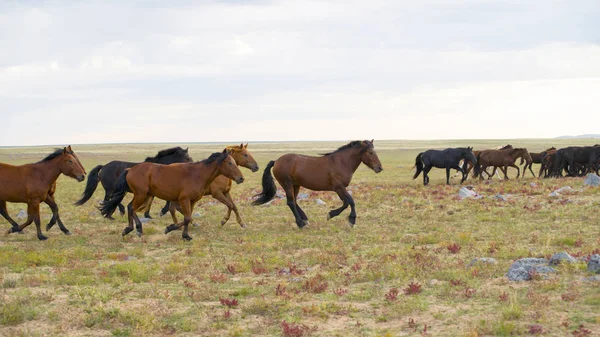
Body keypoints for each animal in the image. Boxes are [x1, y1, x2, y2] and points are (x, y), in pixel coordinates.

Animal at [99, 149, 245, 239]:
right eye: (229, 163)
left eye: (234, 162)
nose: (241, 178)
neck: (197, 174)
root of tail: (130, 170)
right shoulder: (184, 199)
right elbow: (187, 218)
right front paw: (178, 232)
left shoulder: (192, 201)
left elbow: (187, 217)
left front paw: (178, 231)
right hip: (141, 195)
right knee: (131, 208)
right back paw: (134, 229)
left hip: (144, 195)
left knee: (130, 207)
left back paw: (133, 229)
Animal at [251, 139, 382, 228]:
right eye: (370, 152)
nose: (380, 168)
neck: (342, 163)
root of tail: (276, 161)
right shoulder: (339, 188)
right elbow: (350, 201)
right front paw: (349, 220)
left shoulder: (340, 189)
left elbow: (346, 202)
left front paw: (333, 214)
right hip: (287, 184)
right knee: (290, 202)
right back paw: (301, 224)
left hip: (295, 185)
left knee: (294, 201)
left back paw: (304, 220)